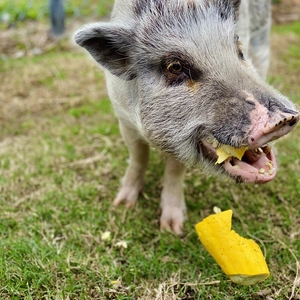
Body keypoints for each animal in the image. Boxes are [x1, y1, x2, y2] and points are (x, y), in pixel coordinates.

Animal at [74, 0, 298, 234]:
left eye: (238, 49)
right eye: (175, 67)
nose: (281, 119)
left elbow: (174, 169)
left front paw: (173, 228)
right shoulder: (123, 117)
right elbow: (138, 155)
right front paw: (123, 205)